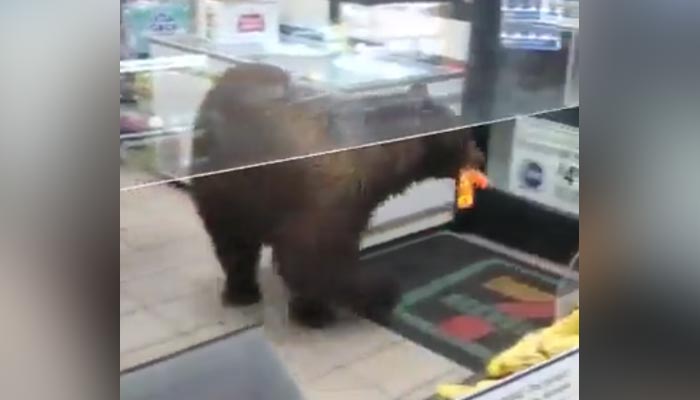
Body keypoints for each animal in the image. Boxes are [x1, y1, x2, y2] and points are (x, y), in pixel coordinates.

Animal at [189, 64, 482, 326]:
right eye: (465, 134)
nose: (479, 157)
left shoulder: (357, 202)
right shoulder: (327, 199)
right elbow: (317, 261)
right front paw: (379, 292)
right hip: (223, 188)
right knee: (233, 243)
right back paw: (242, 292)